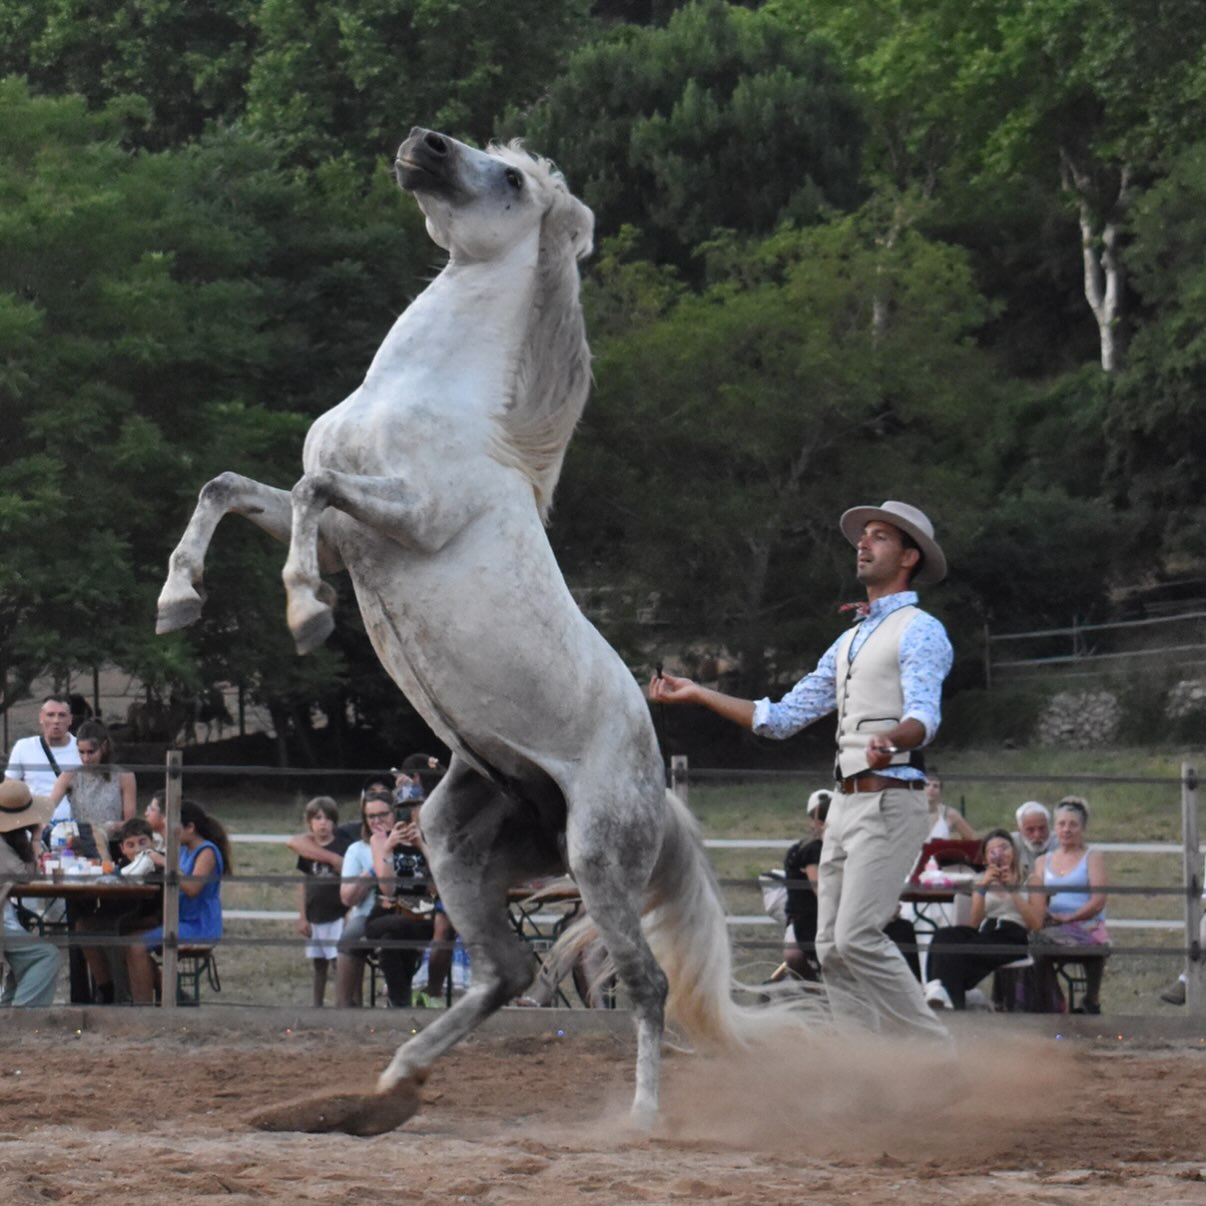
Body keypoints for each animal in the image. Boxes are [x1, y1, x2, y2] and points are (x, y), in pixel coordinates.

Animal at [157, 128, 803, 1134]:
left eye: (505, 177)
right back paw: (387, 1088)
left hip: (595, 857)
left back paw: (640, 1118)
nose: (420, 144)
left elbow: (310, 490)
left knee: (643, 982)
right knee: (507, 971)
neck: (424, 399)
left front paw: (305, 613)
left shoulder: (405, 520)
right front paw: (177, 599)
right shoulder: (348, 538)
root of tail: (659, 794)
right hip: (451, 839)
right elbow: (231, 487)